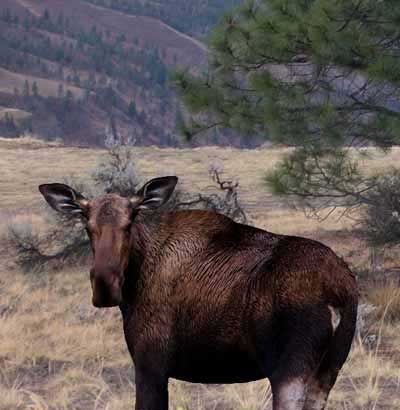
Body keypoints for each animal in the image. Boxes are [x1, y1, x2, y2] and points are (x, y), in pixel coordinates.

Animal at [39, 178, 358, 410]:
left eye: (130, 223)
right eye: (86, 224)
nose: (105, 286)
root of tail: (338, 291)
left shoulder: (150, 365)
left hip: (289, 371)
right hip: (326, 372)